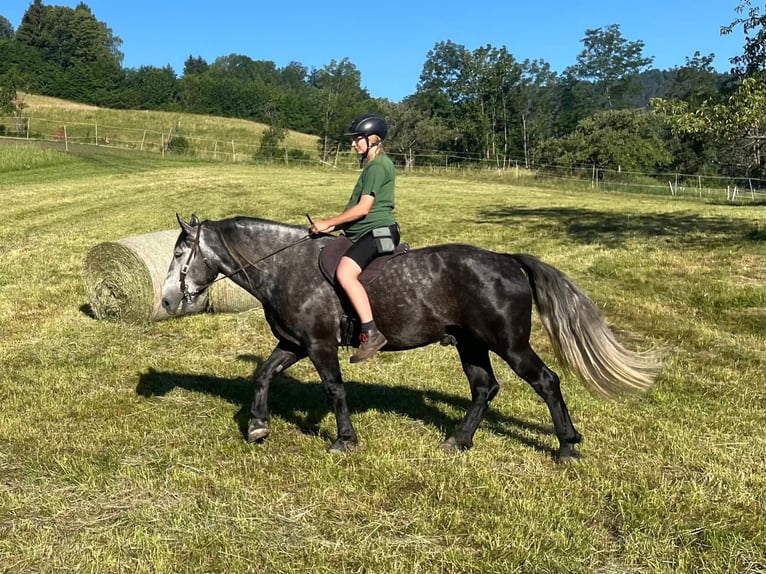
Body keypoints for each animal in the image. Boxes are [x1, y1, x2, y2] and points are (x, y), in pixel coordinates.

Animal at [160, 214, 662, 461]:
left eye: (182, 252)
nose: (166, 300)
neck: (286, 266)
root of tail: (506, 259)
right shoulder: (295, 344)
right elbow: (263, 375)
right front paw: (258, 425)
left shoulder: (319, 346)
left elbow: (334, 389)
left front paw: (344, 441)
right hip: (470, 344)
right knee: (485, 388)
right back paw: (458, 441)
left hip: (510, 344)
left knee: (546, 382)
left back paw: (567, 447)